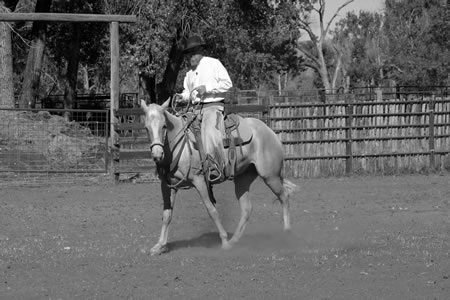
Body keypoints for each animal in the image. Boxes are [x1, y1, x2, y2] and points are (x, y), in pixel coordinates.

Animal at [141, 99, 296, 254]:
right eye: (146, 128)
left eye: (164, 126)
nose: (157, 155)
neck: (181, 146)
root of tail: (270, 132)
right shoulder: (168, 185)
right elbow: (167, 215)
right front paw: (160, 245)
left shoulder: (200, 181)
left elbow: (212, 211)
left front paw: (224, 240)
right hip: (243, 179)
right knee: (247, 208)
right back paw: (235, 241)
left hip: (270, 176)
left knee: (284, 196)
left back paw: (286, 232)